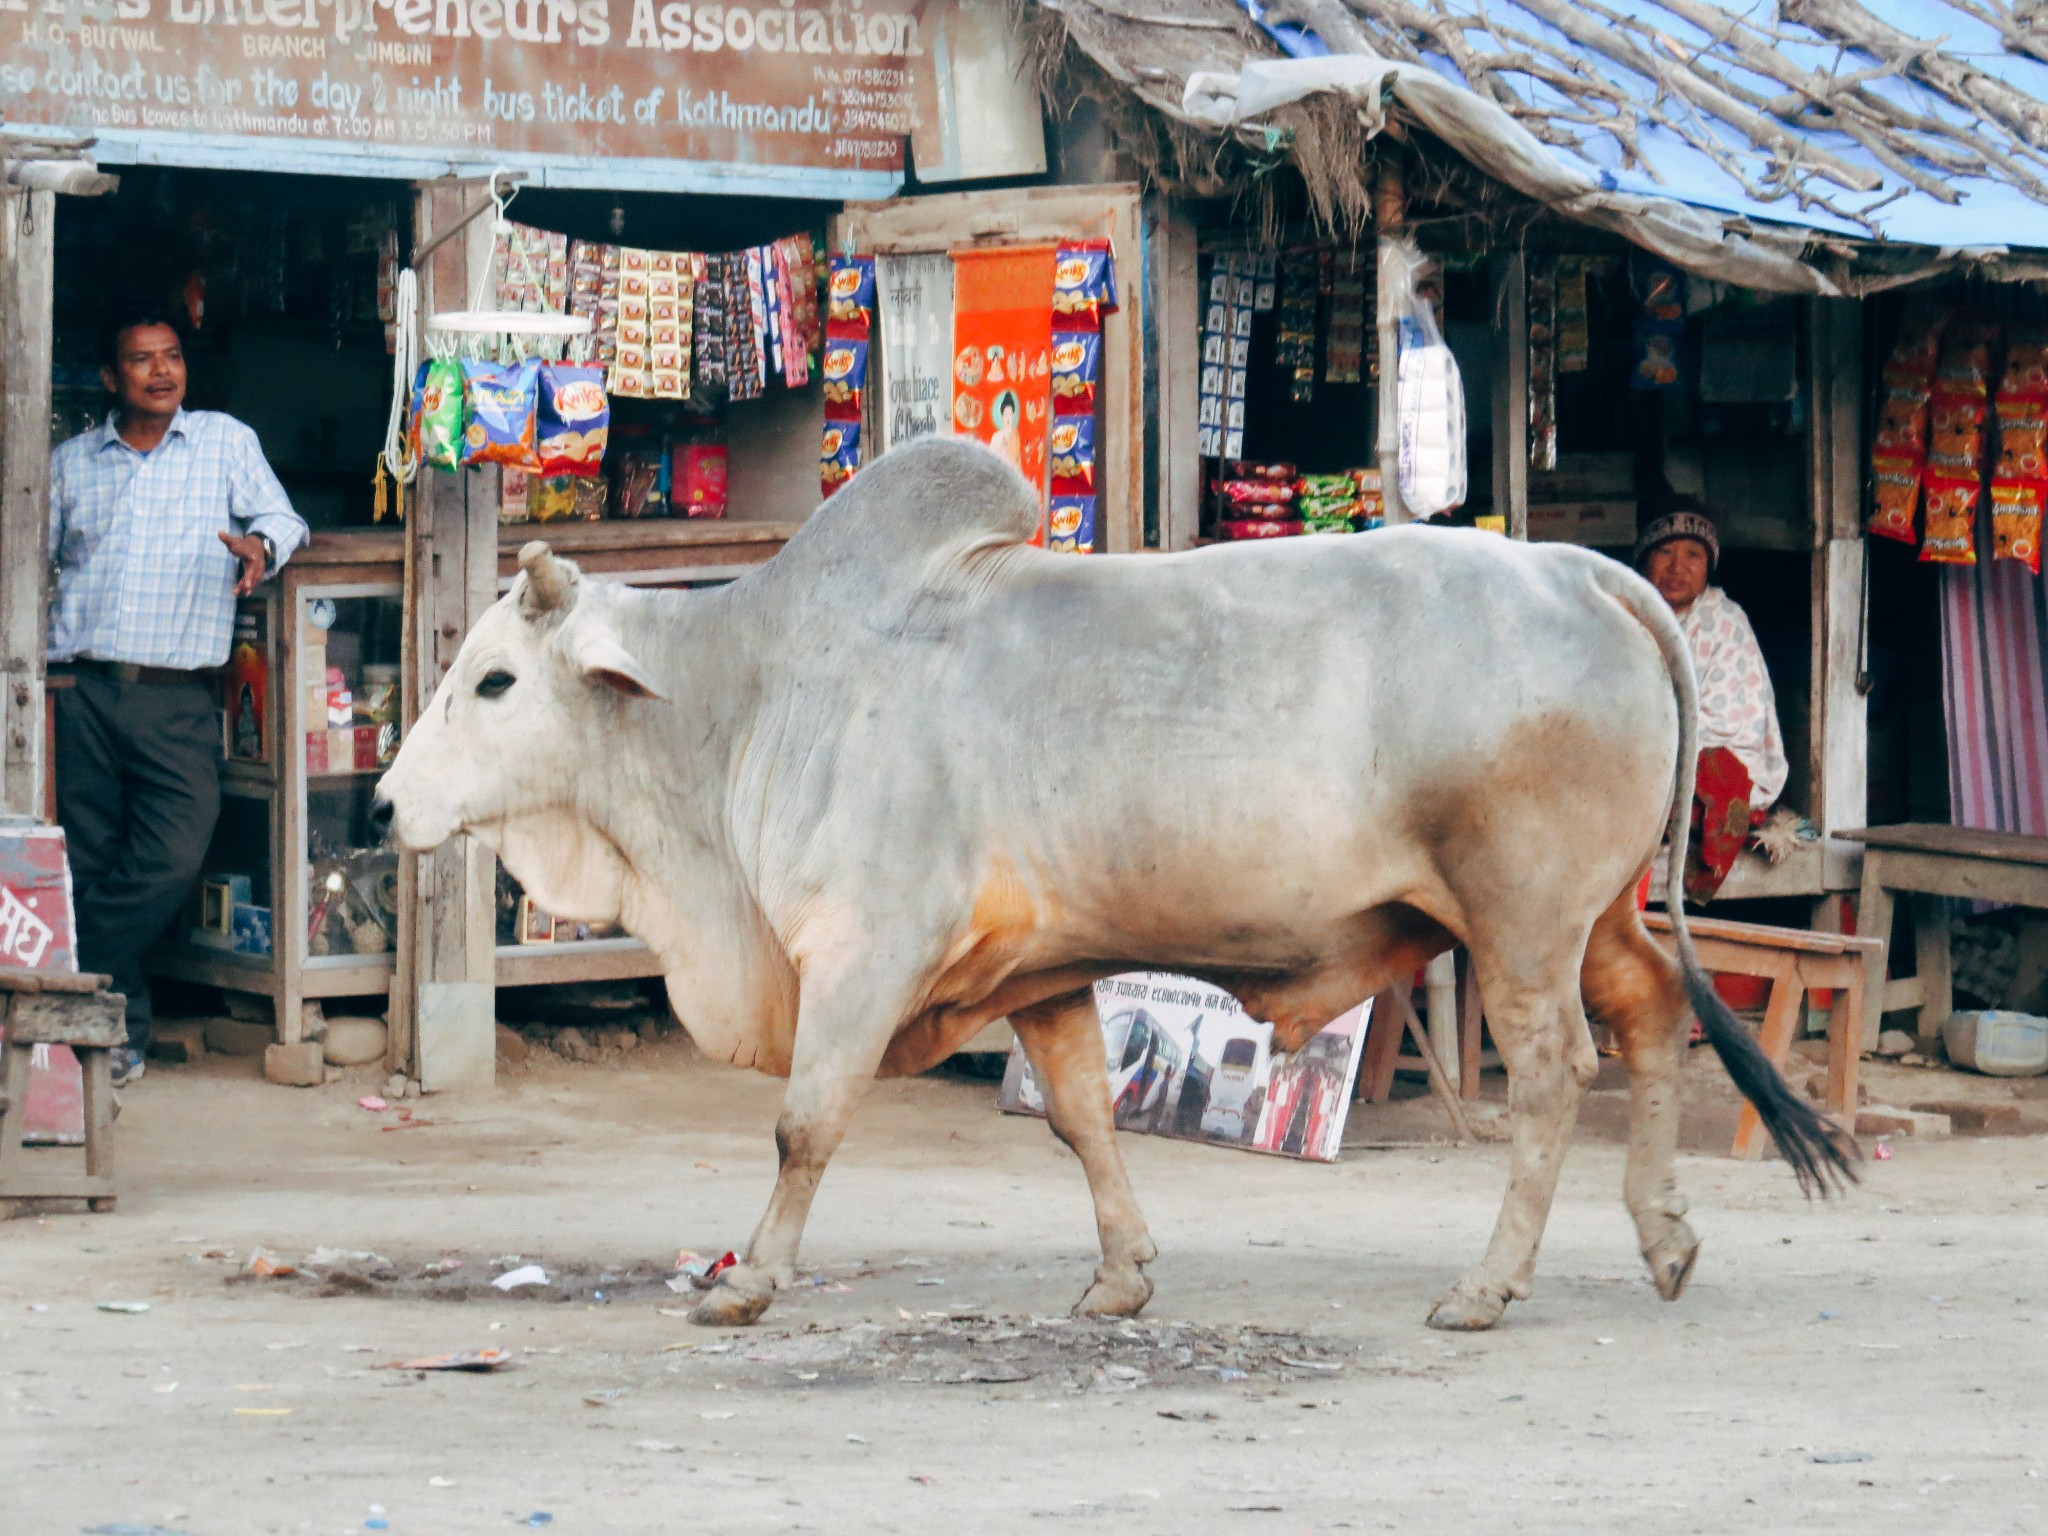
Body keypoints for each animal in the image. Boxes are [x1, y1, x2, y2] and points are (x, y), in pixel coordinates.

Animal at [372, 436, 1859, 1335]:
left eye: (494, 680)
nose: (386, 804)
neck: (750, 697)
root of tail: (1584, 569)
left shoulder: (862, 954)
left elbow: (803, 1126)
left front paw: (751, 1285)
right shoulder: (1039, 973)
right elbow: (1085, 1121)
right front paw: (1121, 1274)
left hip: (1518, 922)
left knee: (1554, 1077)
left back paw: (1487, 1285)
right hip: (1592, 914)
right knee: (1655, 1014)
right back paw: (1664, 1241)